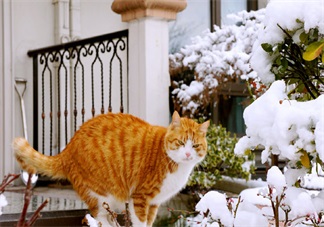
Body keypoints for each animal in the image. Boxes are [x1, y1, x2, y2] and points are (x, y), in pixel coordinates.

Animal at [13, 111, 210, 226]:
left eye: (195, 146)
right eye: (181, 143)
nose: (187, 154)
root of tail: (67, 149)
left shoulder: (154, 203)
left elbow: (149, 223)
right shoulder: (140, 198)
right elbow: (140, 222)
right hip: (100, 196)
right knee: (99, 218)